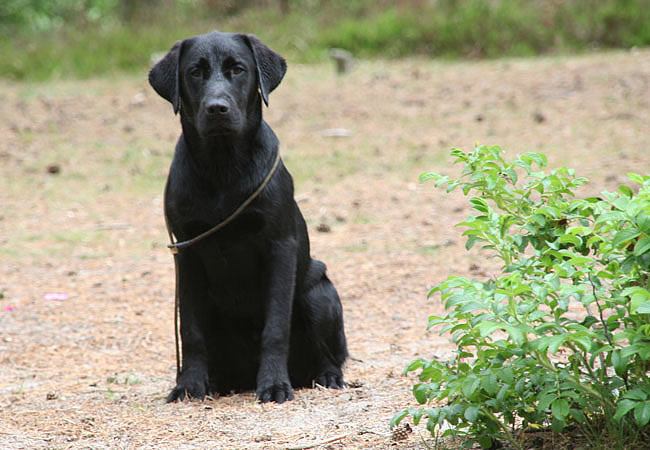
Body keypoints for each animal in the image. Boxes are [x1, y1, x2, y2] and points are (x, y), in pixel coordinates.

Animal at [149, 32, 346, 404]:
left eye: (238, 69)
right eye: (195, 72)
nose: (217, 108)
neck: (223, 167)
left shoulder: (280, 247)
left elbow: (276, 327)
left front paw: (273, 384)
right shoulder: (186, 251)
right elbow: (190, 330)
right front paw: (189, 385)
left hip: (319, 292)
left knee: (331, 355)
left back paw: (327, 376)